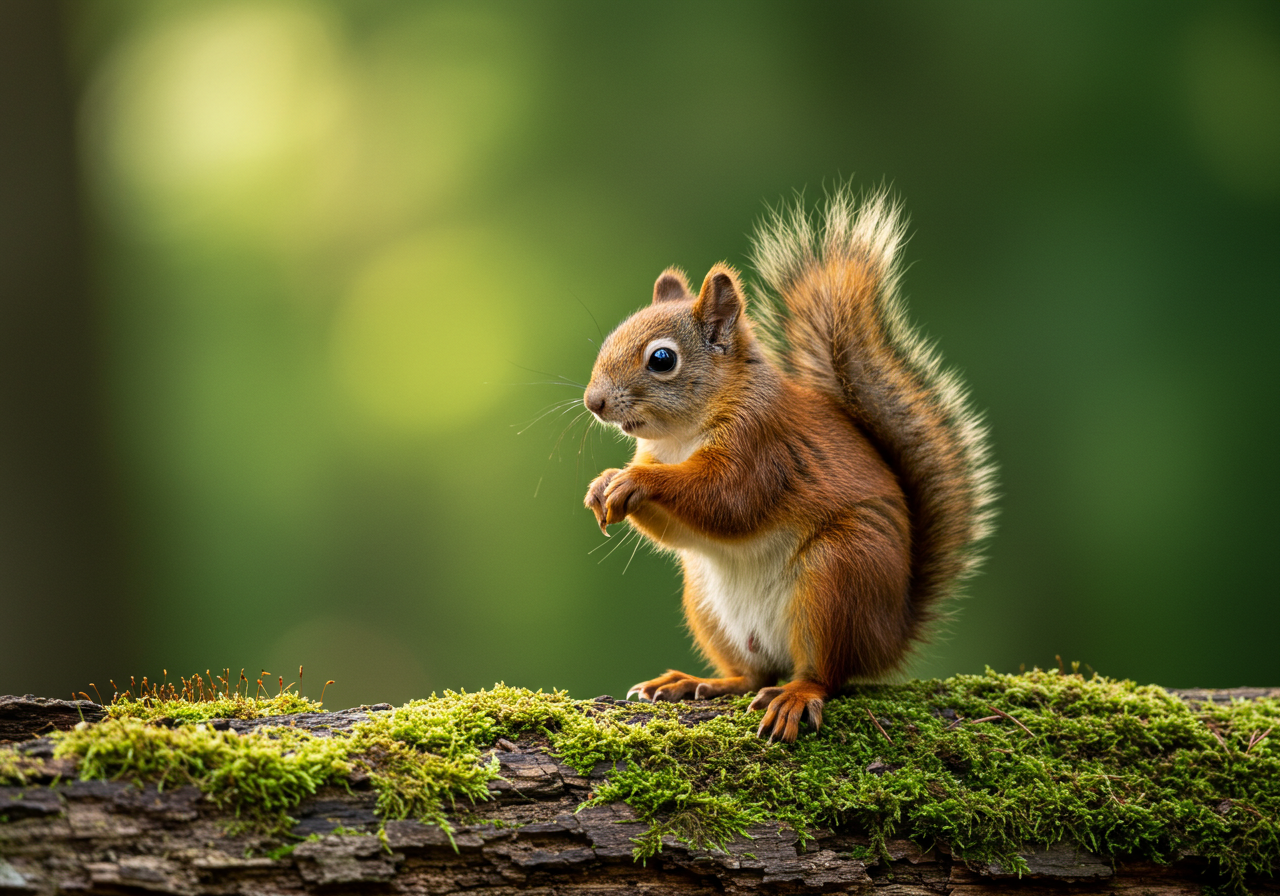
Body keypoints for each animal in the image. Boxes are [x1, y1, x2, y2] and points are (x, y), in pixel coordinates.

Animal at [582, 188, 996, 742]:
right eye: (610, 339)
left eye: (662, 359)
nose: (594, 402)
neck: (678, 440)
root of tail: (891, 633)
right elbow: (684, 529)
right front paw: (603, 484)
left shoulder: (761, 449)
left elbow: (726, 501)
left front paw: (634, 481)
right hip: (708, 603)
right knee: (752, 674)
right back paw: (696, 682)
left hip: (838, 578)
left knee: (825, 674)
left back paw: (796, 697)